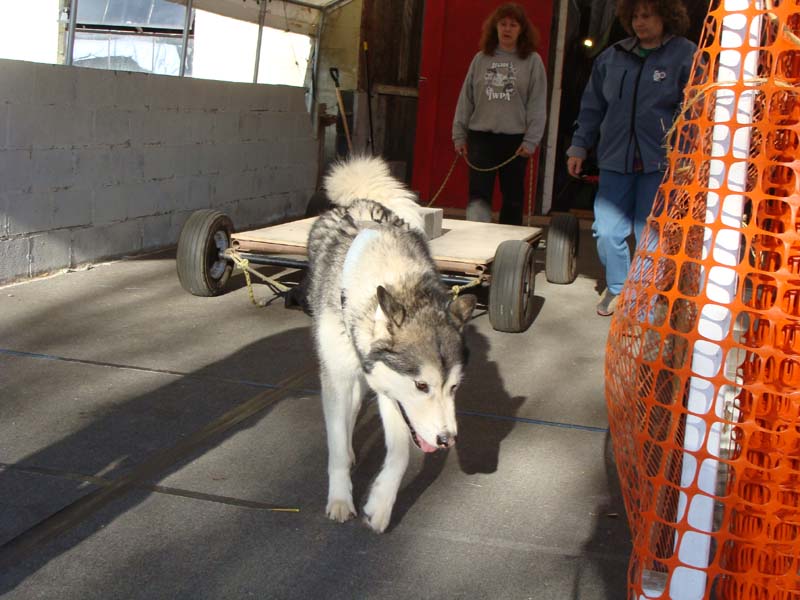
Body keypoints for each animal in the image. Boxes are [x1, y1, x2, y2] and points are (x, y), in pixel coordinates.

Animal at [306, 157, 476, 532]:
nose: (448, 440)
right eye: (422, 385)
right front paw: (340, 499)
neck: (398, 280)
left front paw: (380, 505)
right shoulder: (338, 378)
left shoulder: (390, 390)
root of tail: (362, 201)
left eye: (455, 387)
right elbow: (336, 443)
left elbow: (400, 452)